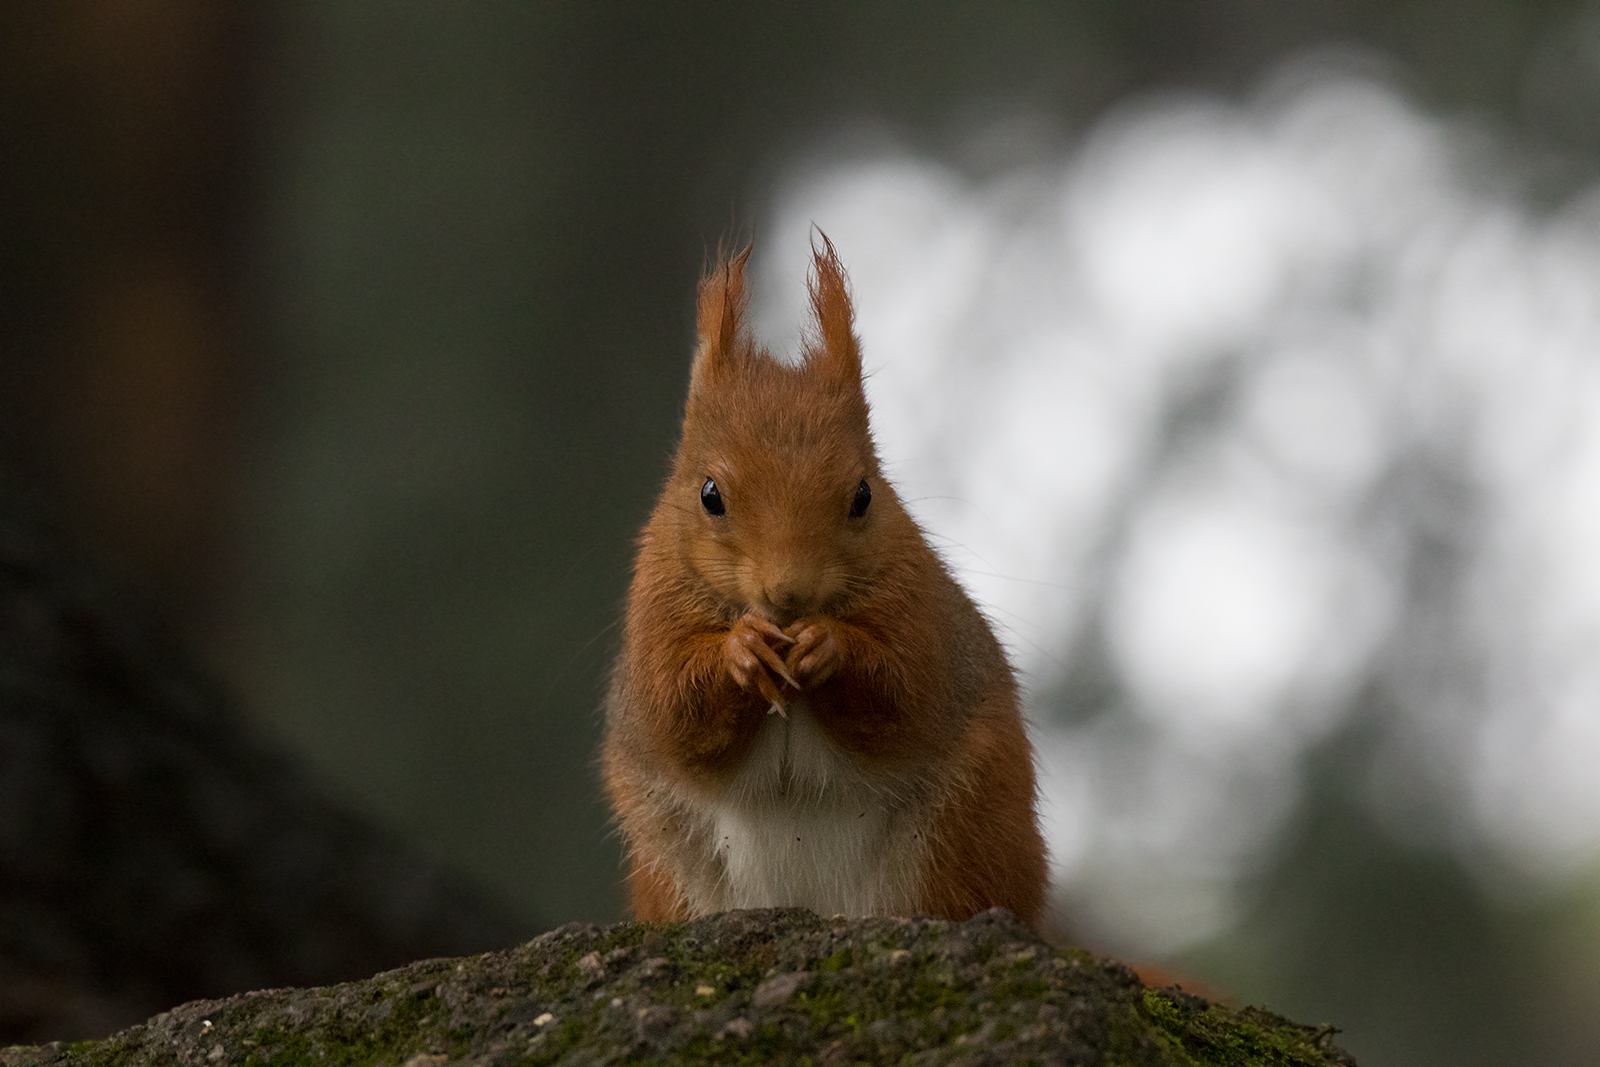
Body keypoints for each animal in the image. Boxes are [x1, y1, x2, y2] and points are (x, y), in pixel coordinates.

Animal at [600, 238, 1048, 929]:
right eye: (709, 495)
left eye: (864, 495)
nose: (790, 595)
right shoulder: (653, 612)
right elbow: (675, 712)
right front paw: (741, 650)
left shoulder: (921, 611)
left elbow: (905, 693)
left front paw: (827, 645)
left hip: (964, 837)